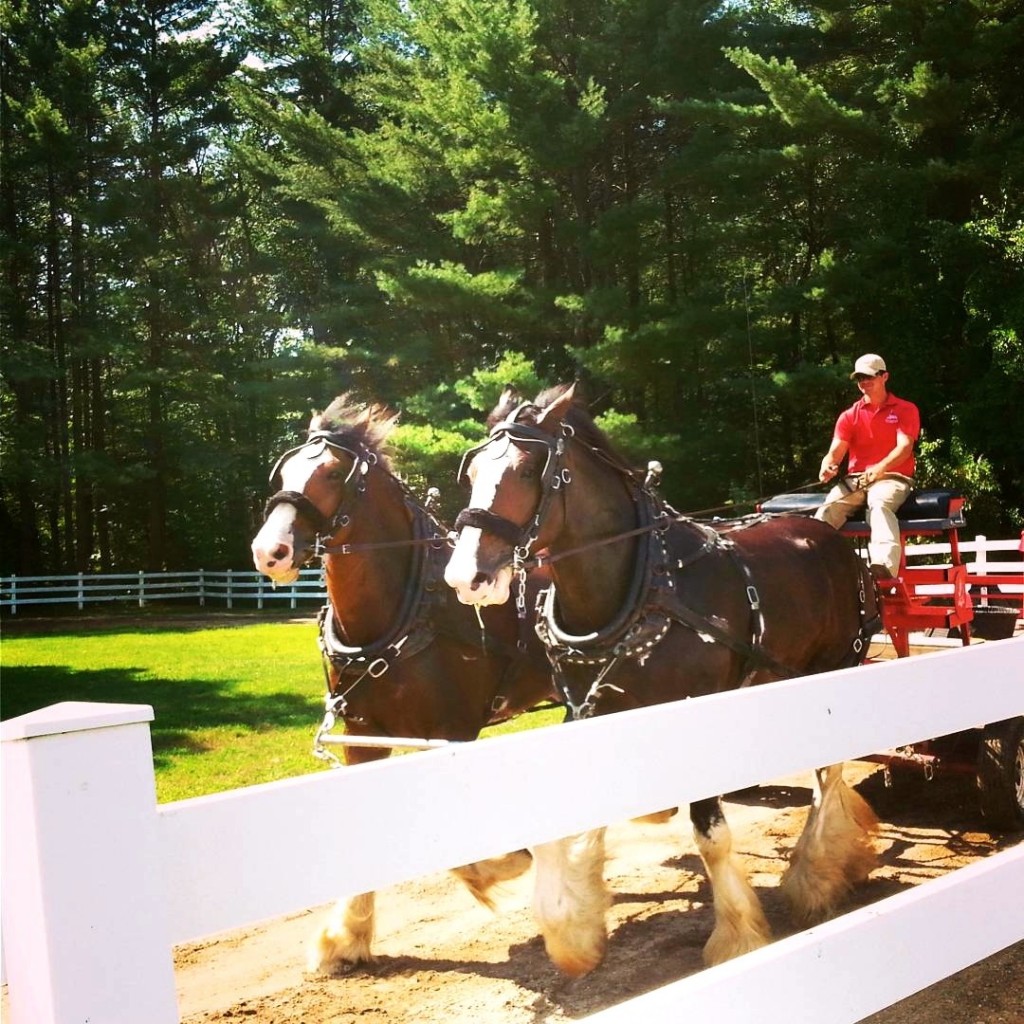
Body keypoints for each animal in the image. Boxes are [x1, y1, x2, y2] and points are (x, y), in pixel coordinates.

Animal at [251, 395, 561, 970]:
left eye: (332, 473)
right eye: (284, 472)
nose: (269, 551)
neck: (408, 610)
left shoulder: (452, 733)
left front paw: (500, 864)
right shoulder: (362, 735)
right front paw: (345, 937)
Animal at [444, 382, 884, 974]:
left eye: (528, 469)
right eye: (472, 472)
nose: (466, 577)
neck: (643, 588)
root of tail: (826, 530)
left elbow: (711, 834)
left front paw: (737, 936)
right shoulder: (589, 709)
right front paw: (572, 931)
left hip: (834, 666)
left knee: (828, 772)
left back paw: (815, 874)